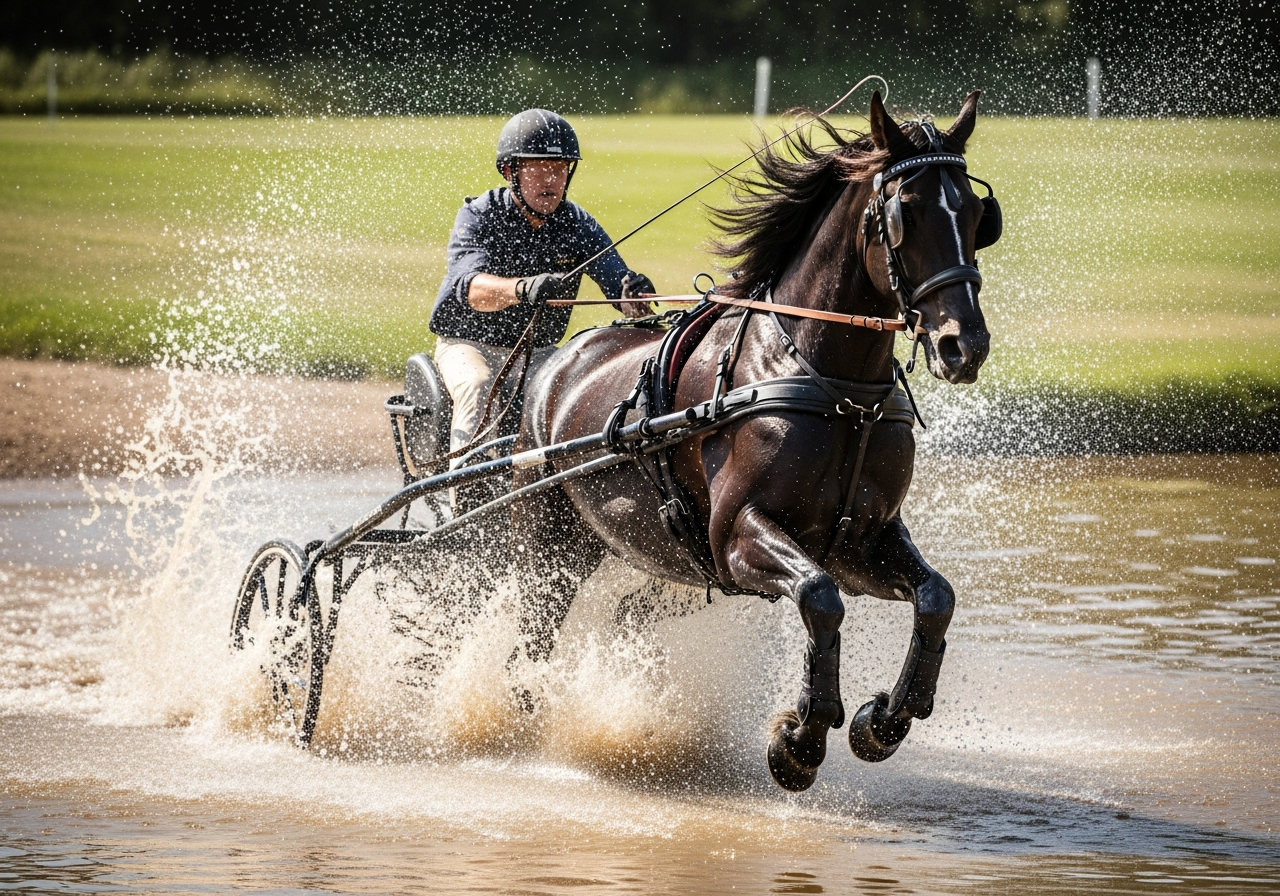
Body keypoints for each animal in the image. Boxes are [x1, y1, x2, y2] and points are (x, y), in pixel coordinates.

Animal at [508, 91, 994, 791]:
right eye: (906, 213)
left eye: (979, 214)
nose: (964, 345)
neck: (837, 389)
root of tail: (552, 363)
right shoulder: (738, 535)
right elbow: (819, 600)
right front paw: (800, 738)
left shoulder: (861, 540)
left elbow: (935, 598)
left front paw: (885, 720)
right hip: (548, 549)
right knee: (530, 633)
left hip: (658, 564)